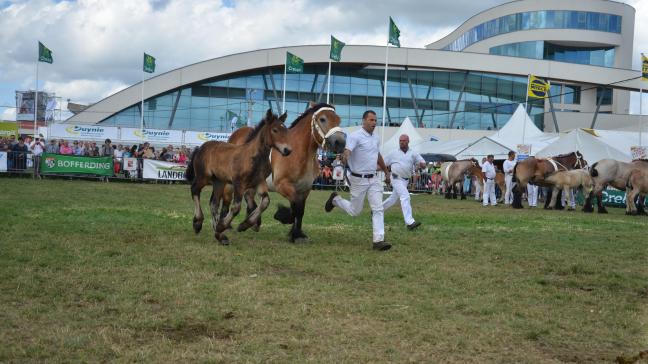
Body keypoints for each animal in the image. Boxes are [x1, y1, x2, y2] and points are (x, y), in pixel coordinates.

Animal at [185, 109, 292, 245]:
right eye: (275, 130)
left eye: (286, 130)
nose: (287, 150)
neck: (254, 157)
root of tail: (200, 148)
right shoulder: (239, 183)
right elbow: (236, 207)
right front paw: (223, 225)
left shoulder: (259, 181)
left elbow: (265, 201)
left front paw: (245, 225)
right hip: (203, 177)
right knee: (195, 190)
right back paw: (198, 223)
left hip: (219, 181)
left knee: (213, 203)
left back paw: (220, 236)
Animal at [224, 102, 344, 242]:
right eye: (323, 119)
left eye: (338, 120)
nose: (340, 142)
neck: (298, 153)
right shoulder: (283, 185)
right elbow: (295, 208)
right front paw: (282, 216)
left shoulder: (305, 189)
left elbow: (300, 210)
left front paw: (298, 234)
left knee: (249, 197)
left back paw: (253, 222)